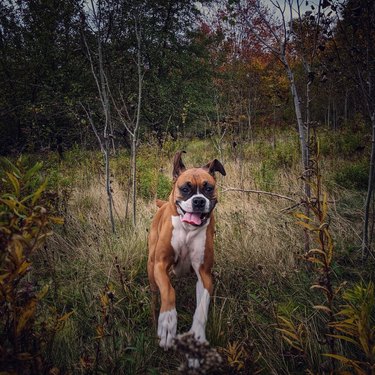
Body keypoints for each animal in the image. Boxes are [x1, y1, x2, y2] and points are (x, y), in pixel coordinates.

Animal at [148, 151, 226, 352]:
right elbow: (169, 291)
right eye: (185, 188)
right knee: (155, 295)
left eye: (208, 188)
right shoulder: (160, 265)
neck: (188, 230)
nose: (198, 201)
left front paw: (197, 334)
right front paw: (167, 323)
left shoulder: (204, 274)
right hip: (151, 268)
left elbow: (202, 307)